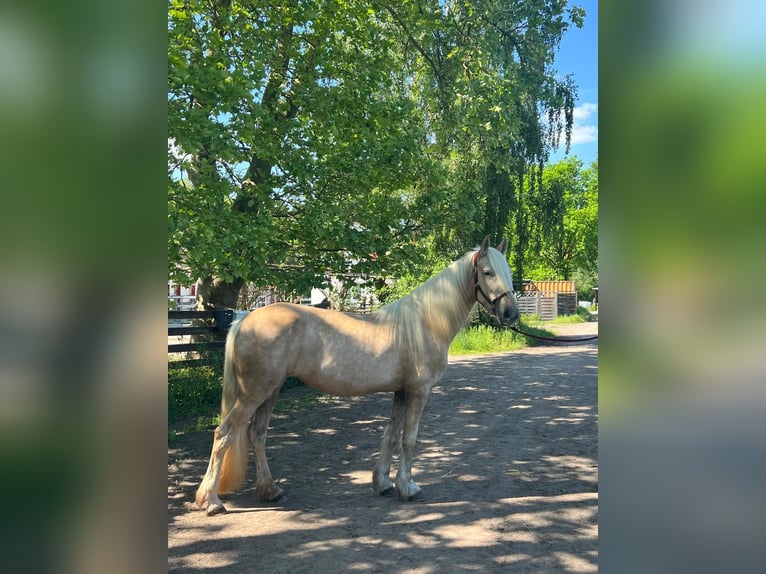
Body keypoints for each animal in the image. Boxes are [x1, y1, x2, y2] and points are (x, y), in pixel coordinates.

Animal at [195, 236, 524, 516]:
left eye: (507, 272)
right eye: (487, 272)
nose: (511, 314)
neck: (423, 324)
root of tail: (244, 320)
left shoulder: (401, 391)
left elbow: (391, 435)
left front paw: (384, 483)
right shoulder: (418, 391)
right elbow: (409, 440)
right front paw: (409, 488)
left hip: (269, 391)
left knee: (257, 435)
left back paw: (270, 490)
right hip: (254, 393)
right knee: (224, 434)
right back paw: (211, 501)